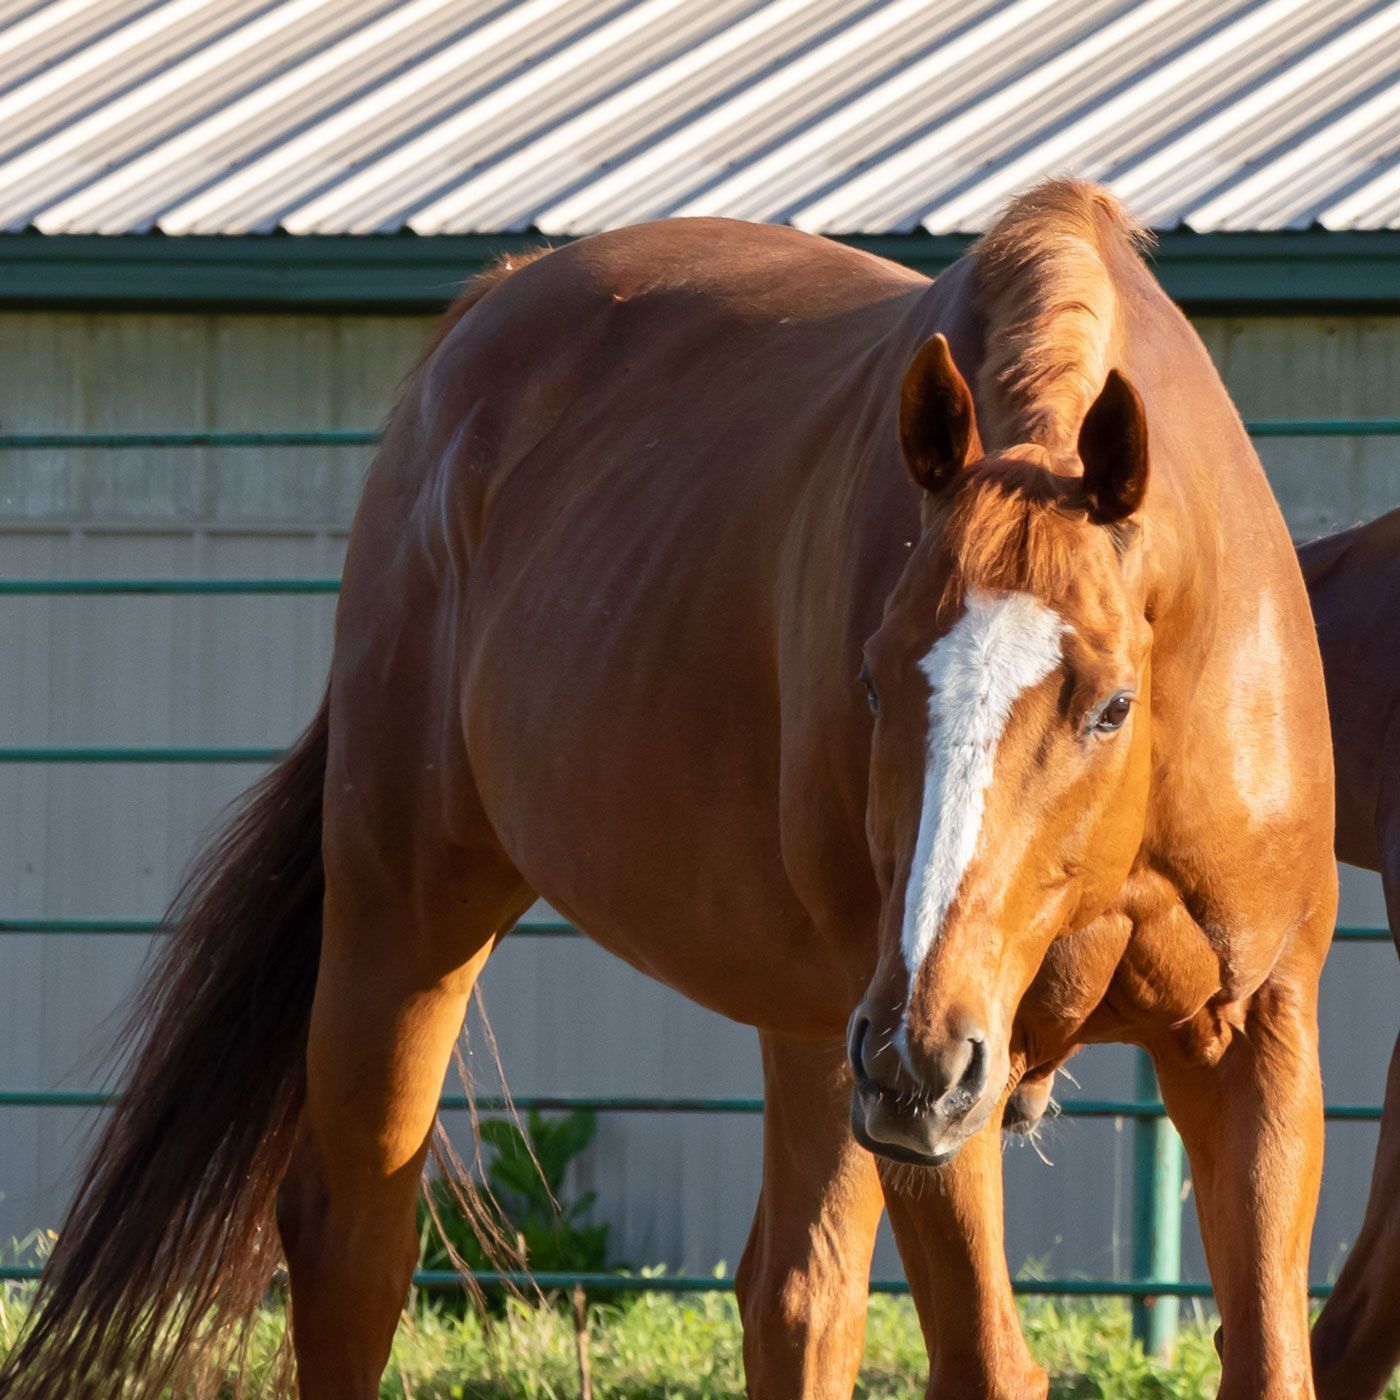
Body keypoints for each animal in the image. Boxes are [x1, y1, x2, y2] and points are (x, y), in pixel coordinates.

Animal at [0, 180, 1337, 1400]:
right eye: (868, 679)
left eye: (1108, 704)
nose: (917, 1052)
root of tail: (479, 324)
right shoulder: (939, 1089)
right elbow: (985, 1360)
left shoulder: (1251, 1035)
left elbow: (1272, 1355)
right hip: (415, 913)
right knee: (353, 1242)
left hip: (822, 1027)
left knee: (794, 1295)